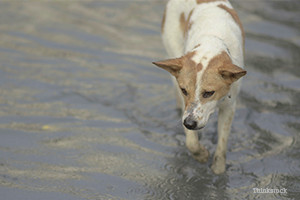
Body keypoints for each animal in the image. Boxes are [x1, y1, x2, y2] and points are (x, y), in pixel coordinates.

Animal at [152, 0, 246, 173]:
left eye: (209, 93)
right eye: (184, 90)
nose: (189, 123)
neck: (212, 38)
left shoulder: (230, 106)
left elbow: (222, 146)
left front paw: (218, 171)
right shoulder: (186, 106)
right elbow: (191, 142)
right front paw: (201, 155)